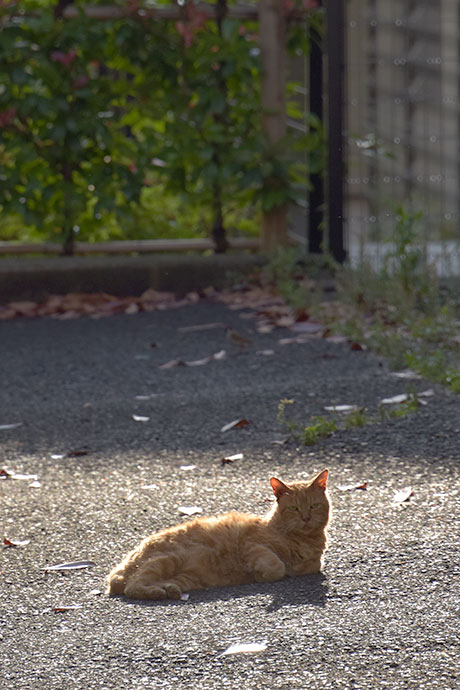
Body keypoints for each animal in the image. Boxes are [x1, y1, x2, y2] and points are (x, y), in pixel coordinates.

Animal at [107, 468, 330, 596]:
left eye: (314, 506)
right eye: (294, 508)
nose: (306, 518)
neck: (301, 540)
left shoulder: (312, 564)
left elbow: (306, 565)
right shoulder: (250, 544)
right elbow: (276, 566)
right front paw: (263, 573)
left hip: (185, 577)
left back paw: (168, 590)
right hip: (164, 560)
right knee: (132, 586)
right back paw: (156, 592)